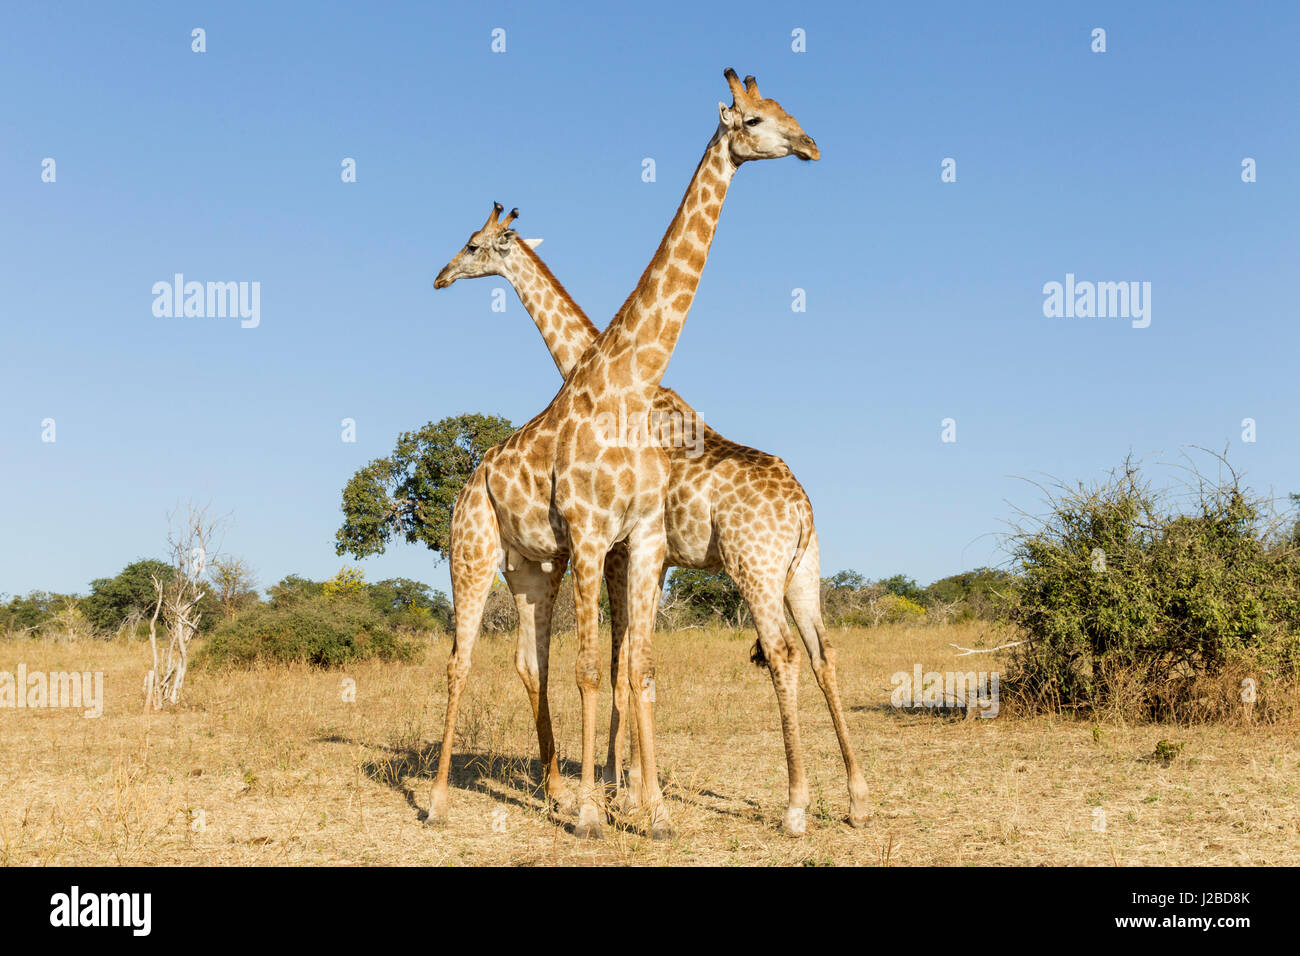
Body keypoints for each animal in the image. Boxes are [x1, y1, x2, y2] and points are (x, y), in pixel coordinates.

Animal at [427, 69, 818, 840]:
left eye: (781, 111)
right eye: (755, 118)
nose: (442, 274)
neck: (622, 379)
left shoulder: (636, 542)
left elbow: (631, 667)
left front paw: (637, 803)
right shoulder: (594, 539)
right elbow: (602, 668)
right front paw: (602, 805)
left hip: (557, 570)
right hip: (478, 553)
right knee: (464, 661)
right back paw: (438, 803)